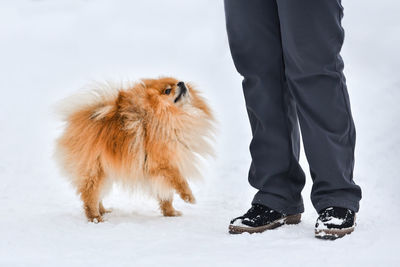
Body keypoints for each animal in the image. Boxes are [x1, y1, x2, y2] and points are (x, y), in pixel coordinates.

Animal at [55, 77, 216, 222]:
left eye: (178, 81)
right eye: (167, 90)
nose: (181, 83)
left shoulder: (158, 170)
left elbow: (166, 194)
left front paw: (171, 213)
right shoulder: (164, 163)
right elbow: (180, 181)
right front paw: (189, 197)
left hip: (104, 171)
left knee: (97, 194)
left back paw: (103, 210)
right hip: (94, 169)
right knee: (90, 195)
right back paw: (95, 218)